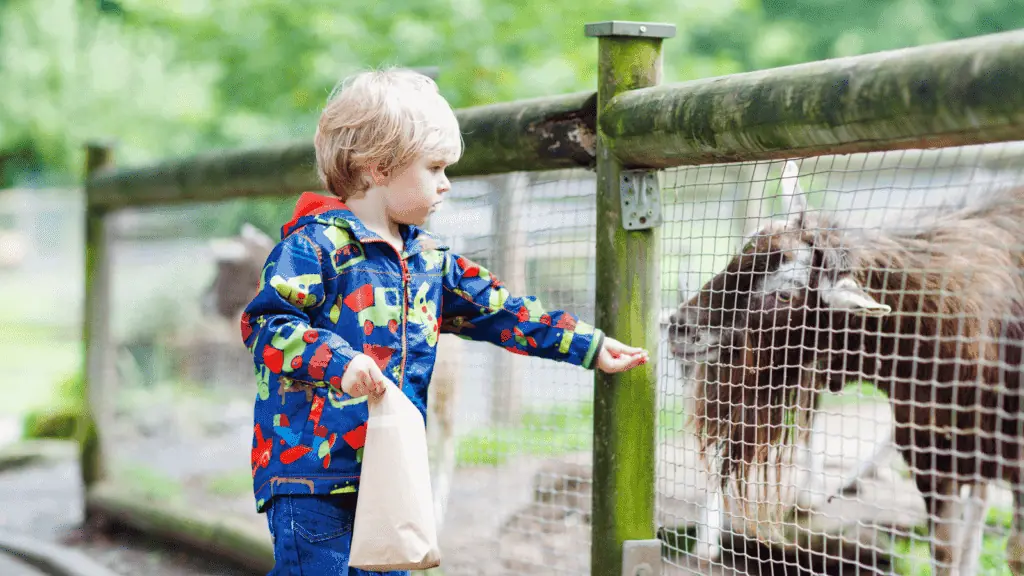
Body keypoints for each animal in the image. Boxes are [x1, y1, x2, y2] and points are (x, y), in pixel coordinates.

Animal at [667, 161, 1019, 573]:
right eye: (742, 253)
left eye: (784, 295)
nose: (680, 327)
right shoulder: (930, 456)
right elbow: (946, 551)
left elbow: (1011, 552)